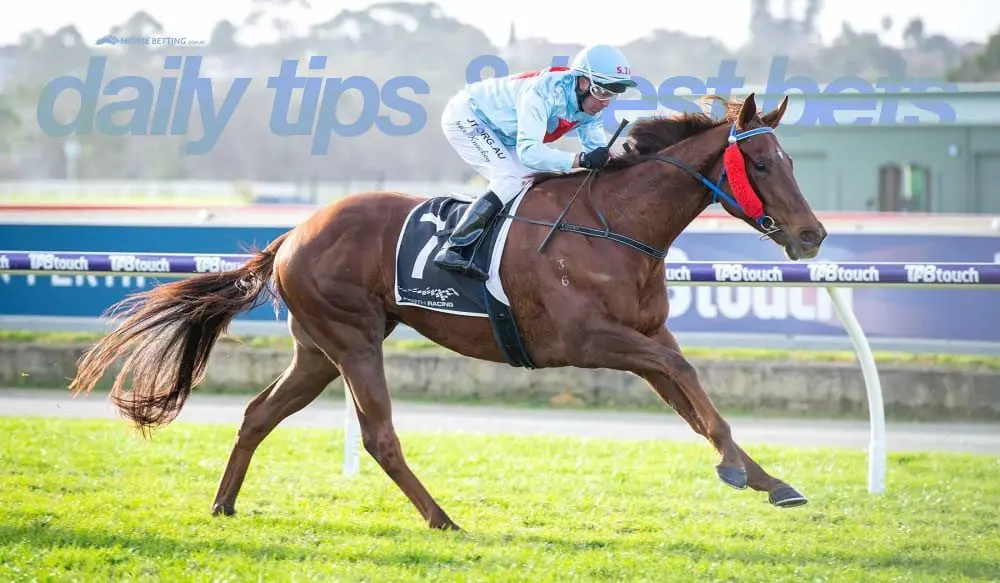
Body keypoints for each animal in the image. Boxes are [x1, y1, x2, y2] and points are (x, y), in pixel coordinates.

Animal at [69, 92, 827, 531]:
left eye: (792, 161)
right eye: (762, 165)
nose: (813, 234)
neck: (616, 223)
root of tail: (292, 234)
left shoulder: (644, 336)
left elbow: (695, 401)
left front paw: (768, 478)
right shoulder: (590, 340)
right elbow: (691, 382)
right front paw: (741, 471)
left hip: (317, 351)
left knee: (259, 413)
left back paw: (223, 504)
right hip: (353, 341)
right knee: (379, 436)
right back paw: (441, 517)